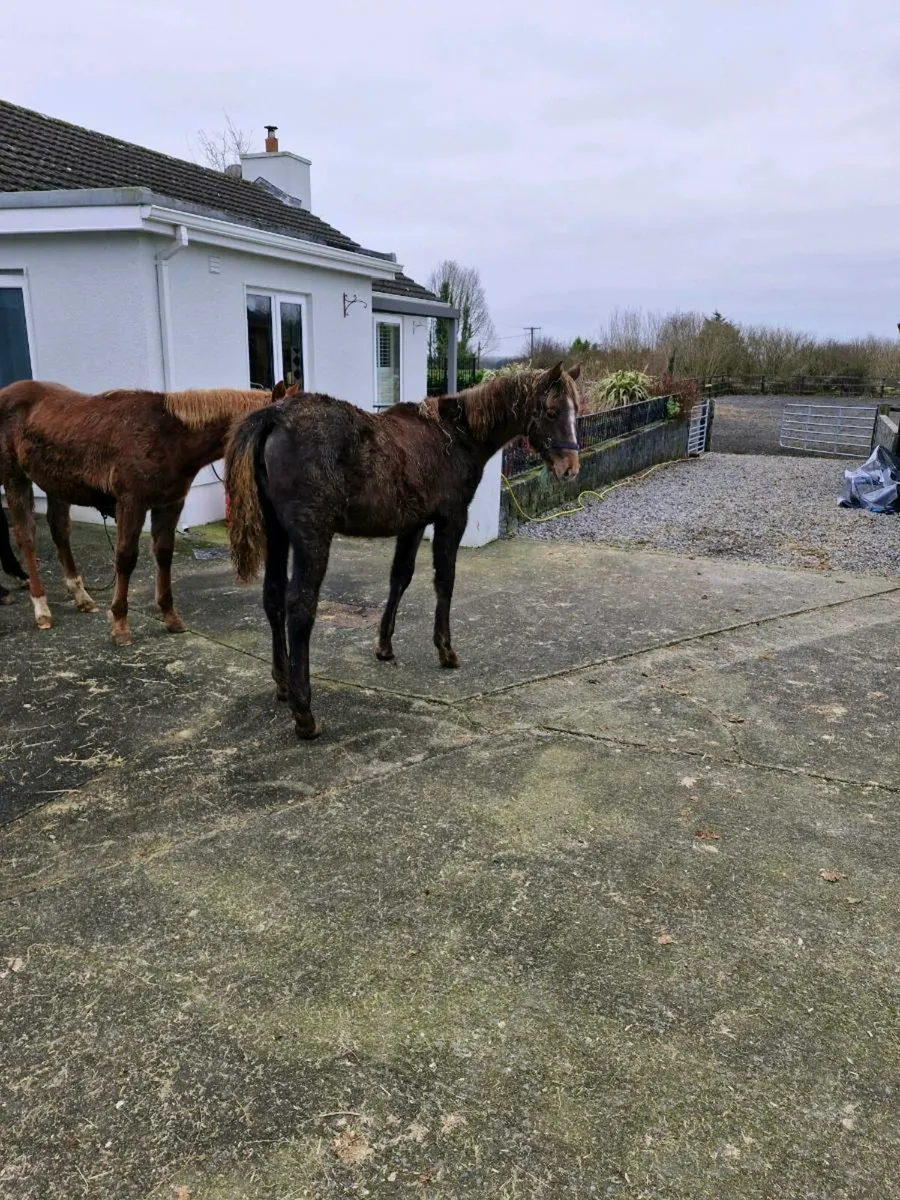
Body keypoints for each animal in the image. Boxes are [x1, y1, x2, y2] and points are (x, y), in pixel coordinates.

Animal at [0, 379, 293, 644]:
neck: (168, 435)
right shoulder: (132, 503)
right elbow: (126, 558)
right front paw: (119, 624)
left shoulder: (170, 504)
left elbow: (164, 554)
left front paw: (170, 617)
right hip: (15, 478)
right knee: (26, 537)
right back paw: (41, 607)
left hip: (56, 485)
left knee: (60, 532)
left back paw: (81, 596)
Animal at [225, 362, 582, 740]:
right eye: (551, 411)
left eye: (577, 409)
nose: (570, 468)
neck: (456, 435)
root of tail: (275, 416)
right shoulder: (451, 519)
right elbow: (445, 581)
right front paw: (445, 649)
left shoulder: (414, 524)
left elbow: (400, 577)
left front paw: (384, 645)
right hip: (311, 537)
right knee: (299, 606)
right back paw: (304, 711)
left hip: (276, 534)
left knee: (274, 596)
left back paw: (282, 684)